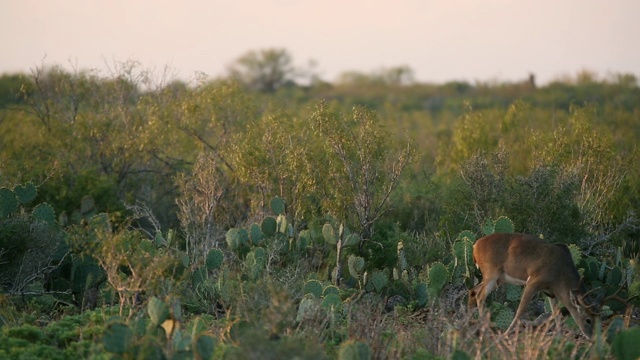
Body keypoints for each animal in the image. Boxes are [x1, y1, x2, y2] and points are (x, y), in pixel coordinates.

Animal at [464, 233, 600, 340]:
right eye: (588, 319)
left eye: (598, 318)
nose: (592, 338)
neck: (561, 272)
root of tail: (475, 246)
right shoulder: (533, 282)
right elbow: (520, 310)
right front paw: (506, 334)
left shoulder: (551, 292)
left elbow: (556, 314)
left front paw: (560, 337)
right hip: (491, 274)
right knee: (480, 296)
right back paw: (485, 331)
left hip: (497, 279)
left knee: (472, 291)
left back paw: (470, 326)